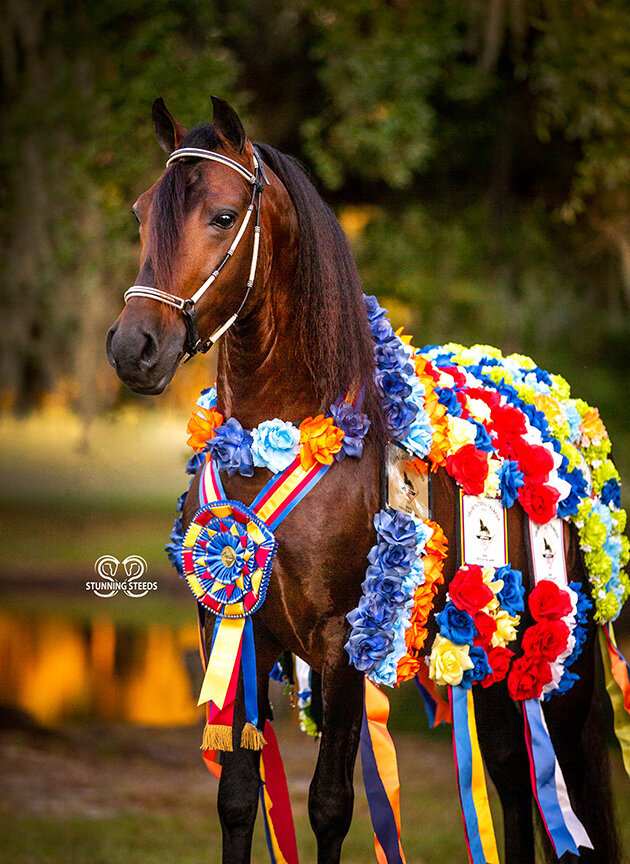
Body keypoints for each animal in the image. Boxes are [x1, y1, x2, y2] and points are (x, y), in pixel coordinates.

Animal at [105, 98, 624, 860]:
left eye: (224, 216)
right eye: (143, 212)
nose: (133, 348)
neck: (279, 439)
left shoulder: (340, 642)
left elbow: (330, 803)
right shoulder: (235, 630)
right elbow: (238, 798)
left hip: (561, 659)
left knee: (572, 779)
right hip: (493, 658)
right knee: (511, 777)